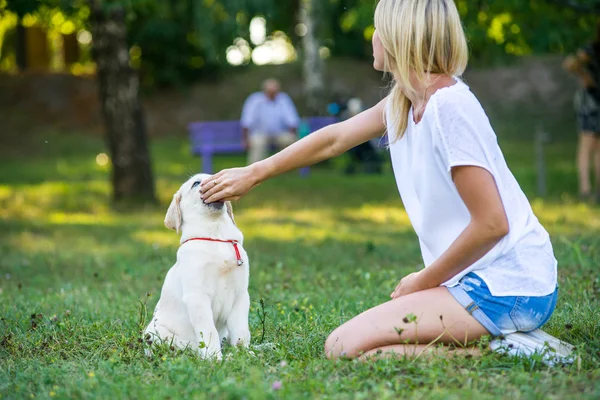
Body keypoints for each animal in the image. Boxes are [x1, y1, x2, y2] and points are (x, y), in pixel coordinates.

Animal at [145, 173, 251, 360]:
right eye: (196, 183)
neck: (215, 236)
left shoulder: (241, 295)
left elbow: (240, 332)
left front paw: (244, 355)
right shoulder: (197, 297)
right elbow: (209, 331)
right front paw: (214, 358)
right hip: (153, 334)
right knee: (185, 347)